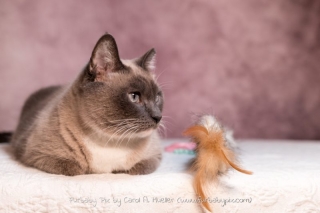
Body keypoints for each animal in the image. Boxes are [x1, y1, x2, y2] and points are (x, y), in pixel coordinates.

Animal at [10, 33, 164, 176]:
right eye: (134, 97)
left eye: (157, 98)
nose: (158, 117)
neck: (108, 140)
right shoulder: (40, 156)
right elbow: (76, 170)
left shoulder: (153, 158)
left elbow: (134, 169)